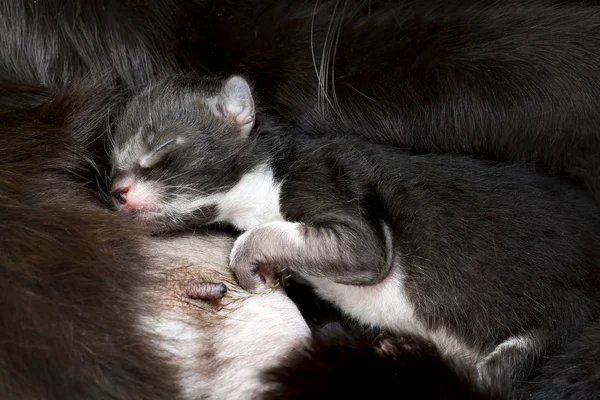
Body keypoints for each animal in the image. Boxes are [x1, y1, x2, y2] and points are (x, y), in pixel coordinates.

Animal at [110, 75, 600, 396]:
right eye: (112, 163)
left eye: (161, 146)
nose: (115, 190)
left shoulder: (341, 203)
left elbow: (265, 236)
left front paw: (249, 265)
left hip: (551, 328)